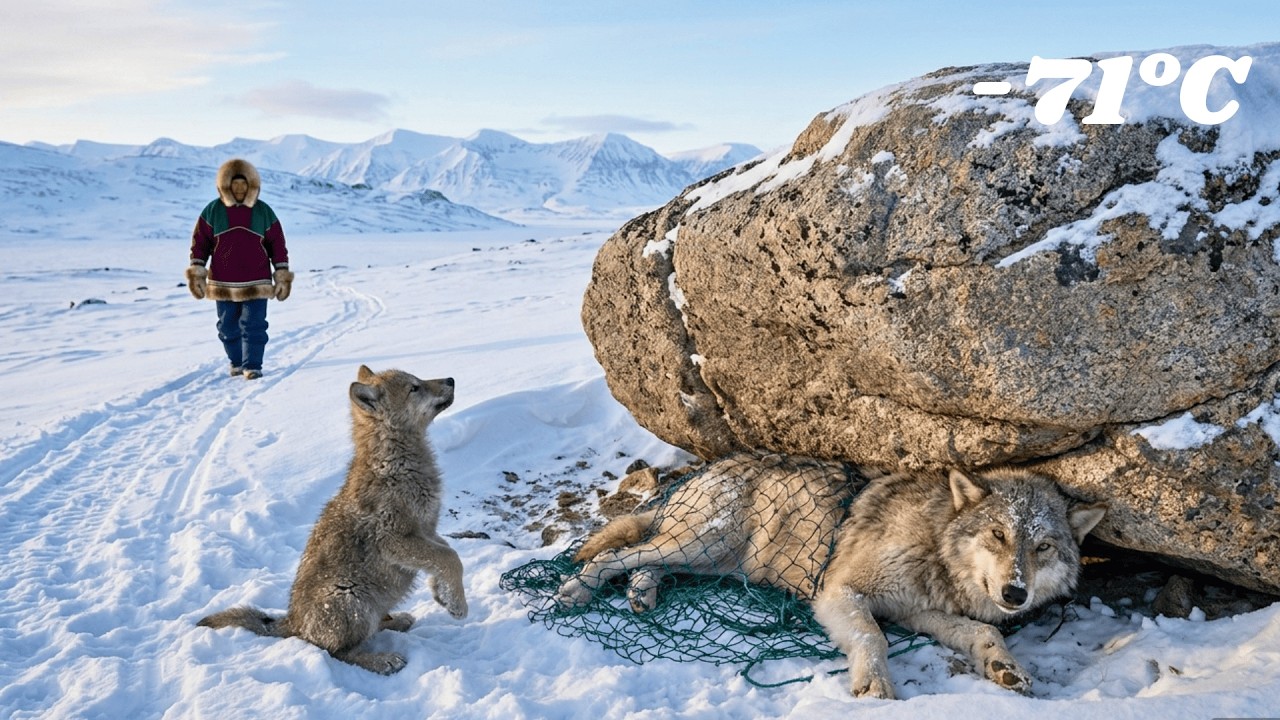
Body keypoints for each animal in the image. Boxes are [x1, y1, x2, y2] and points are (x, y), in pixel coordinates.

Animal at [198, 365, 468, 675]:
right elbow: (450, 558)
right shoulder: (395, 539)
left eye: (419, 380)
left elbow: (447, 553)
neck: (397, 464)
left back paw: (397, 620)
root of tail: (292, 623)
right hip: (352, 600)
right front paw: (458, 605)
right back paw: (383, 660)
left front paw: (442, 594)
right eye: (415, 388)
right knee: (338, 652)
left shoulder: (427, 529)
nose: (451, 379)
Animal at [558, 456, 1105, 699]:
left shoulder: (919, 611)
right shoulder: (841, 591)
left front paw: (1005, 667)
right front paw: (875, 686)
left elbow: (986, 631)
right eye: (997, 534)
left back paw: (641, 595)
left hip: (713, 560)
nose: (1015, 593)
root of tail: (712, 465)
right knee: (617, 554)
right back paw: (575, 589)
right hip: (703, 544)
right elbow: (871, 637)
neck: (934, 547)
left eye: (1042, 547)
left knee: (646, 563)